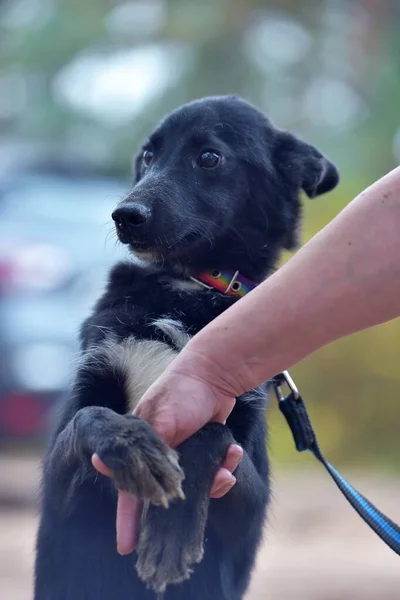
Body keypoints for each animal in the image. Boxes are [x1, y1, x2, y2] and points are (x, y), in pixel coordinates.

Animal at [34, 96, 340, 596]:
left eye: (209, 157)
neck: (187, 287)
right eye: (147, 156)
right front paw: (133, 445)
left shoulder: (246, 505)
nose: (125, 215)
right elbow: (90, 415)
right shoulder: (62, 493)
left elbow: (210, 432)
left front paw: (170, 537)